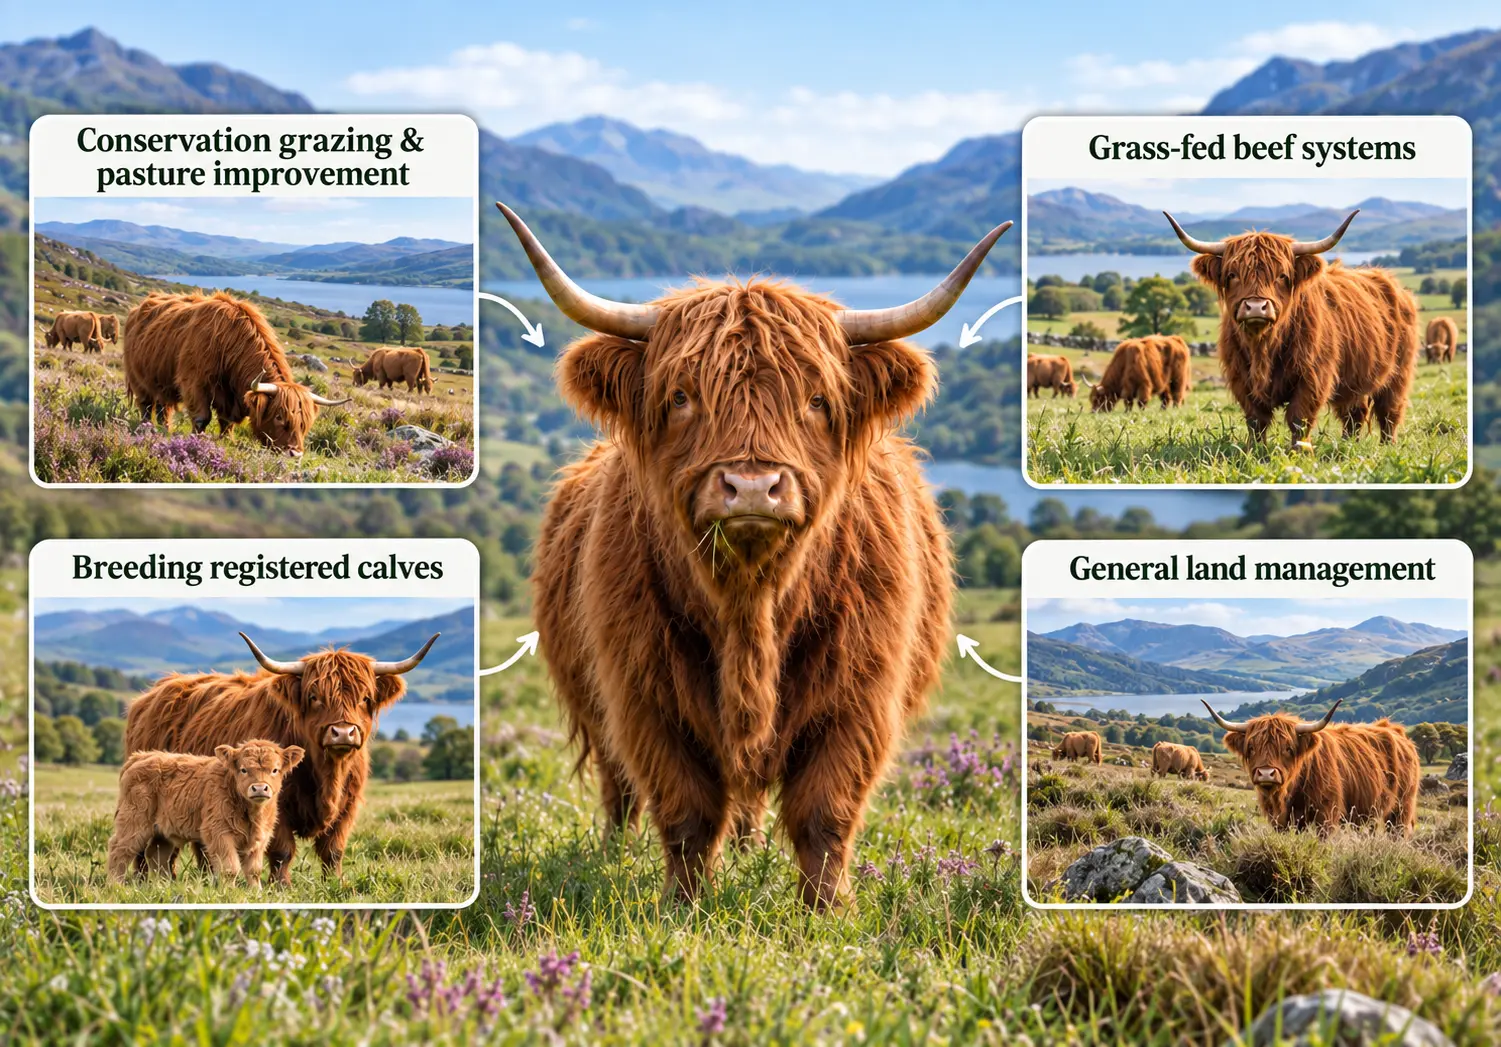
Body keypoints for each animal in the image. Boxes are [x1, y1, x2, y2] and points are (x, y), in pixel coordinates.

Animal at [107, 740, 303, 884]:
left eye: (275, 770)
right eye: (243, 769)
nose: (260, 788)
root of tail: (141, 756)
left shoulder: (259, 838)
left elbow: (254, 871)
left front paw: (256, 894)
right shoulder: (218, 833)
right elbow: (230, 869)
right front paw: (229, 894)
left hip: (162, 831)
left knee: (157, 855)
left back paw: (164, 885)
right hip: (134, 821)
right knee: (119, 849)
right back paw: (115, 885)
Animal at [122, 292, 349, 455]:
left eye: (305, 421)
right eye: (279, 416)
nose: (295, 454)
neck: (229, 344)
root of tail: (137, 308)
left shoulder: (229, 397)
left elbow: (226, 422)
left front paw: (226, 441)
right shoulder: (194, 382)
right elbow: (202, 418)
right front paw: (195, 442)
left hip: (162, 383)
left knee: (163, 408)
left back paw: (164, 430)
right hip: (138, 378)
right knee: (146, 405)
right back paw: (146, 428)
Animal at [501, 201, 1011, 910]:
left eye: (816, 400)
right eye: (682, 396)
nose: (750, 486)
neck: (751, 607)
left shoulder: (861, 695)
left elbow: (823, 811)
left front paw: (827, 910)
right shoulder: (641, 694)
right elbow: (685, 811)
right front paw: (684, 907)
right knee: (618, 790)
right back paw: (611, 855)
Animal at [1166, 210, 1419, 448]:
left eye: (1282, 275)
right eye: (1232, 275)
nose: (1256, 307)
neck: (1263, 348)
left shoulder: (1313, 375)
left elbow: (1299, 418)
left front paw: (1300, 452)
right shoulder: (1241, 378)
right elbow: (1256, 420)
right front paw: (1254, 451)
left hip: (1399, 373)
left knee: (1389, 412)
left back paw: (1387, 446)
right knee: (1354, 413)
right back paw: (1348, 445)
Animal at [1201, 699, 1419, 835]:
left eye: (1288, 748)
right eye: (1251, 748)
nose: (1266, 774)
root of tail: (1396, 730)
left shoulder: (1327, 814)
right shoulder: (1281, 821)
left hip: (1402, 808)